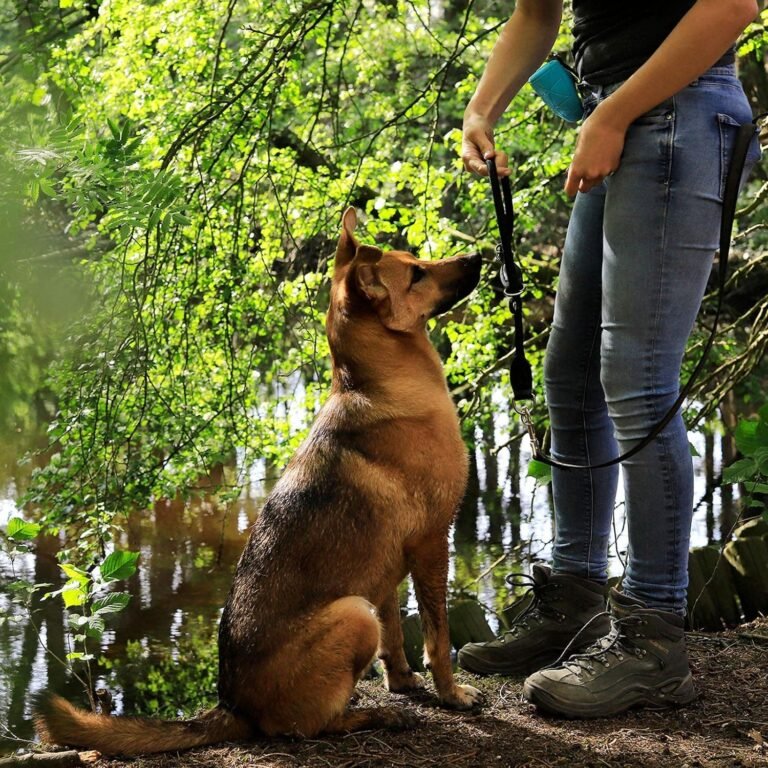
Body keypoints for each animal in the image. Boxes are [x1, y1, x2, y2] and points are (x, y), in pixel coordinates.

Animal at [36, 207, 484, 752]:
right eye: (417, 273)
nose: (478, 255)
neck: (376, 385)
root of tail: (234, 708)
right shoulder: (431, 543)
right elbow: (438, 637)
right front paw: (450, 693)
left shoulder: (389, 566)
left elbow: (397, 634)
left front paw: (401, 682)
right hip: (353, 614)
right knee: (306, 726)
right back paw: (372, 716)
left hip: (362, 606)